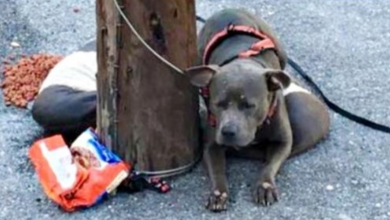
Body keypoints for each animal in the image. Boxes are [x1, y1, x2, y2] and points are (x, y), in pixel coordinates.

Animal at [185, 8, 330, 211]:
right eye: (218, 103)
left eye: (249, 105)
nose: (228, 131)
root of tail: (228, 9)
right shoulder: (211, 144)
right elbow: (217, 170)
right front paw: (218, 193)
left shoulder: (283, 141)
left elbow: (270, 164)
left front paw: (265, 186)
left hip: (280, 50)